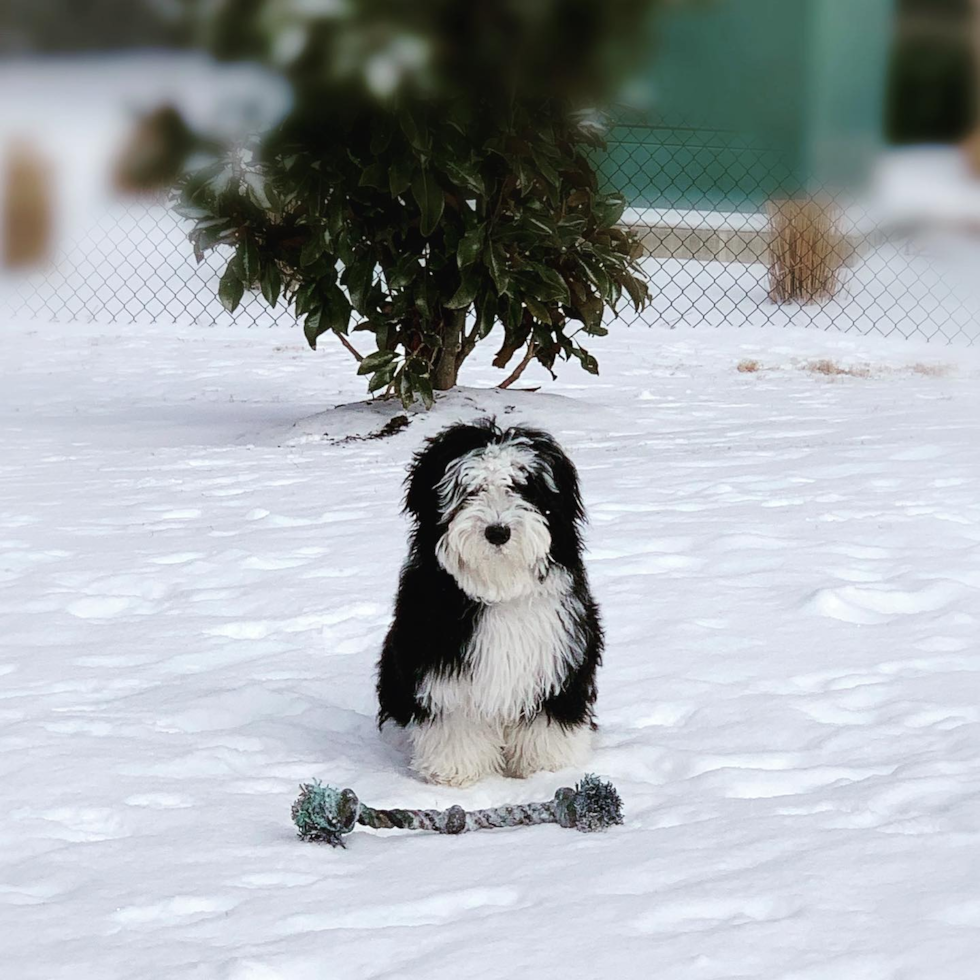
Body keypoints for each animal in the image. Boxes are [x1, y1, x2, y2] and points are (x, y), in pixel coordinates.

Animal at [378, 418, 600, 784]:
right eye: (470, 490)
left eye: (522, 487)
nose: (498, 532)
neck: (499, 589)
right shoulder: (442, 670)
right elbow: (457, 725)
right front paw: (456, 773)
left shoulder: (557, 663)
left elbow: (547, 724)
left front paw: (548, 769)